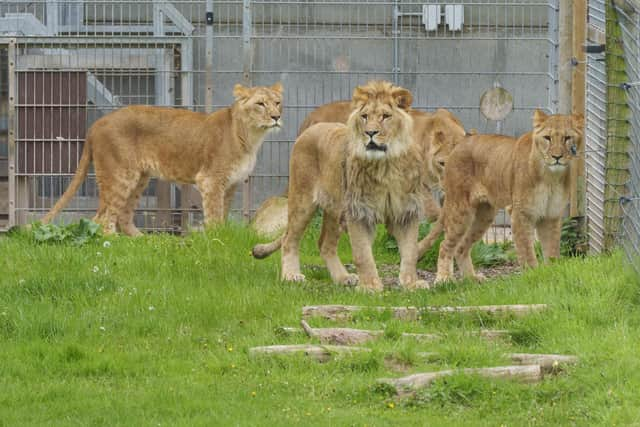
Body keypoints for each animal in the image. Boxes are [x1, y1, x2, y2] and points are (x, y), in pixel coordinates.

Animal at [42, 82, 282, 236]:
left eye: (278, 102)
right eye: (260, 104)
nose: (277, 117)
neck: (251, 137)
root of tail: (95, 125)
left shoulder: (231, 185)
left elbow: (222, 214)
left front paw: (222, 236)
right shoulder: (211, 180)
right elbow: (214, 215)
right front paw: (216, 241)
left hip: (139, 178)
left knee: (122, 216)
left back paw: (143, 243)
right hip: (120, 175)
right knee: (102, 219)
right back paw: (111, 244)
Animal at [252, 81, 428, 292]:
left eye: (386, 116)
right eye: (364, 116)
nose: (370, 133)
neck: (386, 165)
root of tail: (310, 128)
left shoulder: (405, 212)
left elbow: (410, 252)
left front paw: (411, 283)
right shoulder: (359, 212)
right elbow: (363, 253)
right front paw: (370, 286)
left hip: (336, 210)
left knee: (325, 244)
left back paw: (343, 278)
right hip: (302, 200)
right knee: (289, 240)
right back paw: (291, 276)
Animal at [418, 110, 584, 284]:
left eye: (567, 138)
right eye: (547, 138)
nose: (557, 157)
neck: (550, 177)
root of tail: (463, 141)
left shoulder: (550, 215)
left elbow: (551, 250)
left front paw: (550, 275)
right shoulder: (520, 213)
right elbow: (526, 250)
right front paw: (533, 276)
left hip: (484, 215)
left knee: (461, 247)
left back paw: (472, 278)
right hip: (460, 210)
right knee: (445, 245)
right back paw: (444, 279)